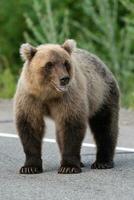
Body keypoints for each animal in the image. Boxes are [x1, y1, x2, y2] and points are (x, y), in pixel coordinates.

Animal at [14, 39, 120, 173]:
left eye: (66, 63)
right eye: (49, 64)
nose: (64, 79)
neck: (48, 94)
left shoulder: (68, 98)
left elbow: (71, 125)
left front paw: (68, 167)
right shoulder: (30, 97)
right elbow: (30, 126)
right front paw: (30, 167)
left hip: (102, 95)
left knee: (104, 126)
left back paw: (102, 162)